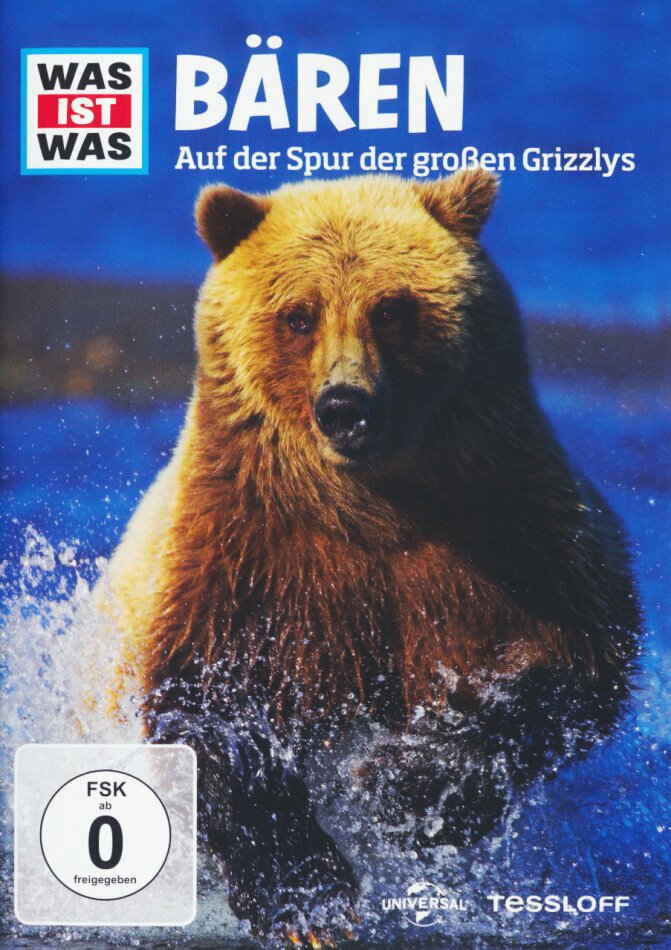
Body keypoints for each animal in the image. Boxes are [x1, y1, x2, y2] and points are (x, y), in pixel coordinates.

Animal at [97, 169, 640, 945]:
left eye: (390, 308)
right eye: (298, 314)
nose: (344, 405)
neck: (372, 502)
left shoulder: (508, 526)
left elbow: (566, 667)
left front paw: (394, 784)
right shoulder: (244, 555)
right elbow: (209, 713)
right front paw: (309, 902)